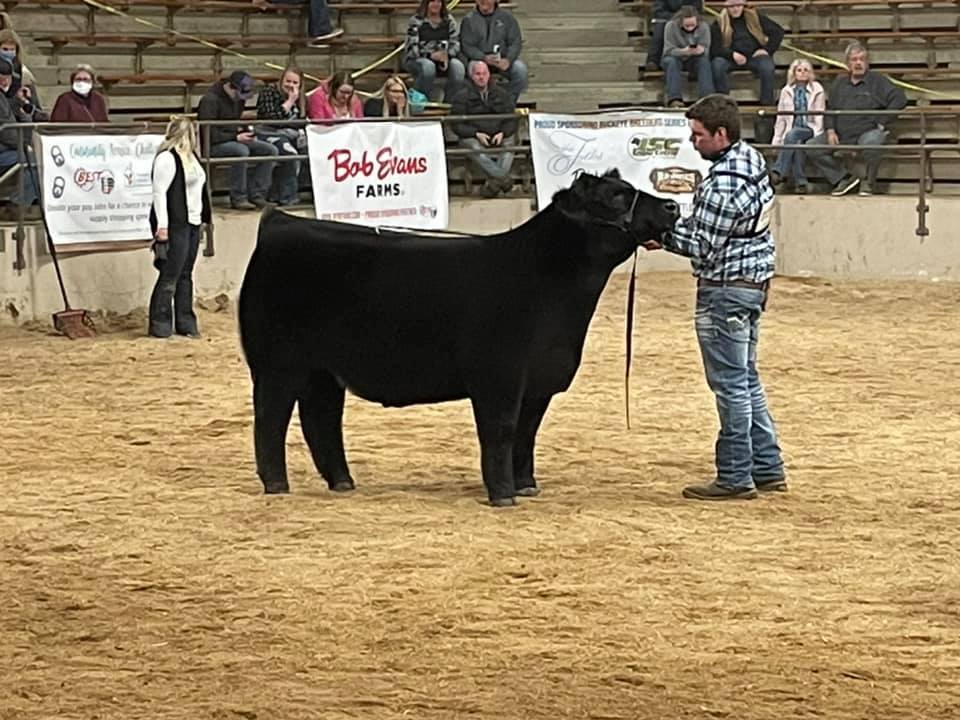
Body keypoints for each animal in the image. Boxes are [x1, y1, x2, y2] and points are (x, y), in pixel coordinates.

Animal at [238, 170, 679, 506]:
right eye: (616, 197)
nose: (672, 206)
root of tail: (281, 223)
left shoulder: (539, 382)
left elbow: (527, 434)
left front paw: (527, 486)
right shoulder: (499, 377)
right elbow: (501, 431)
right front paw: (503, 495)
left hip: (324, 369)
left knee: (322, 417)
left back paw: (343, 482)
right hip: (277, 363)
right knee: (271, 418)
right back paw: (277, 484)